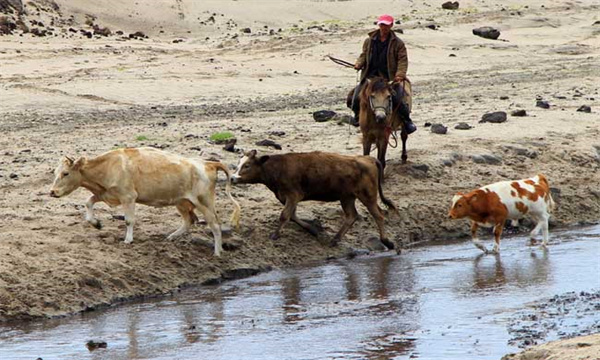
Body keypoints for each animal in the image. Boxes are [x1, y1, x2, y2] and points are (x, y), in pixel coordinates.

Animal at [49, 146, 240, 256]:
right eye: (55, 172)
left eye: (65, 173)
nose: (52, 192)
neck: (108, 166)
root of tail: (208, 163)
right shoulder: (107, 194)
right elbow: (88, 202)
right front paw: (96, 223)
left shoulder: (128, 197)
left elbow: (129, 220)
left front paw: (128, 240)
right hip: (182, 202)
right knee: (189, 221)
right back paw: (171, 237)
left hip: (204, 202)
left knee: (215, 225)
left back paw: (217, 252)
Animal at [233, 150, 398, 249]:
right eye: (238, 164)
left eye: (247, 165)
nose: (233, 178)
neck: (278, 168)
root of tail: (369, 158)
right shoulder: (287, 197)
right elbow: (292, 215)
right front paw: (313, 230)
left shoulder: (293, 195)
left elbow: (285, 215)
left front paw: (275, 235)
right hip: (347, 197)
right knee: (352, 215)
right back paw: (335, 239)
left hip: (367, 195)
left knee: (378, 215)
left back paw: (386, 241)